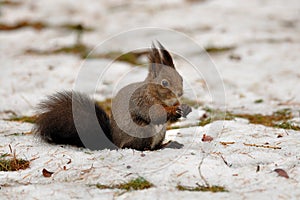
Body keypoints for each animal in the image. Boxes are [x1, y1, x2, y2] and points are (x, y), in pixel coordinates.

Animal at [33, 42, 192, 152]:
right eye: (164, 83)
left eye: (181, 78)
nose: (180, 93)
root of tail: (114, 143)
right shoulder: (142, 101)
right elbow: (155, 114)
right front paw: (174, 110)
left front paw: (184, 108)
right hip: (141, 131)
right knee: (138, 147)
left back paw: (169, 144)